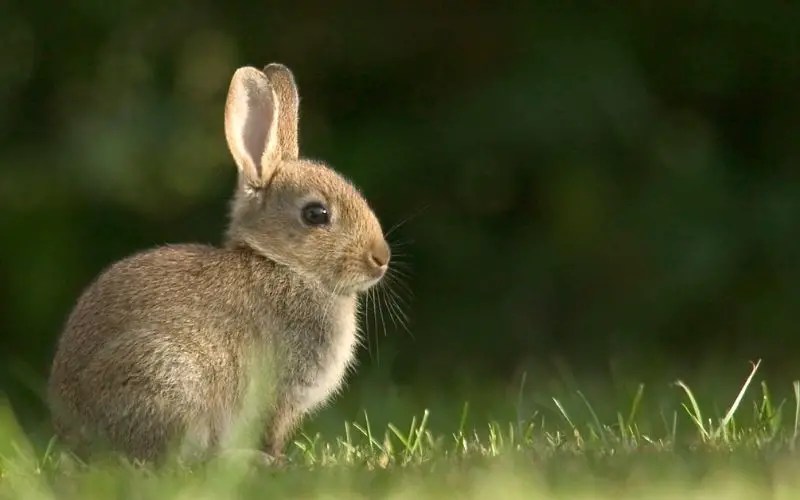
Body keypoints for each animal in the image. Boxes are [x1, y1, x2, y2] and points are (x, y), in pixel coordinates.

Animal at [47, 62, 392, 465]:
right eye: (316, 214)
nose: (381, 258)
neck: (283, 265)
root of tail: (76, 437)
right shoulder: (279, 394)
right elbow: (271, 432)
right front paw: (277, 460)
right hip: (169, 380)